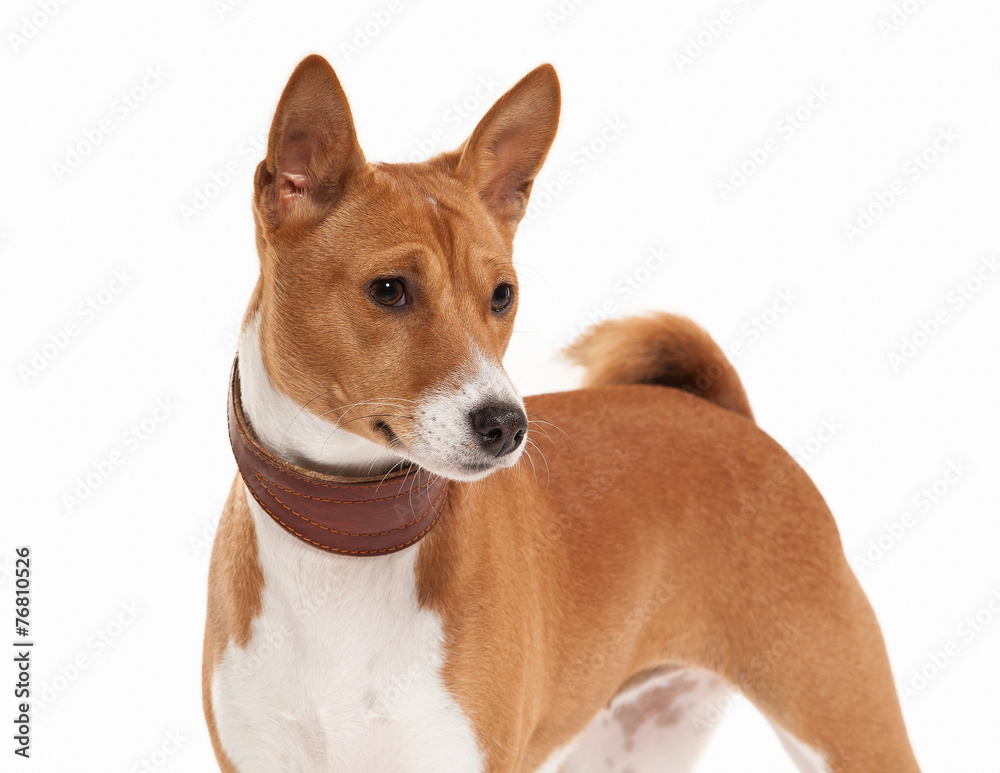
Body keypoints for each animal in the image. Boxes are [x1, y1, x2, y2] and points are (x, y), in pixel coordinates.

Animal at [201, 55, 920, 772]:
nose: (505, 425)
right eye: (388, 290)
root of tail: (729, 417)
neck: (340, 550)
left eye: (502, 294)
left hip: (845, 721)